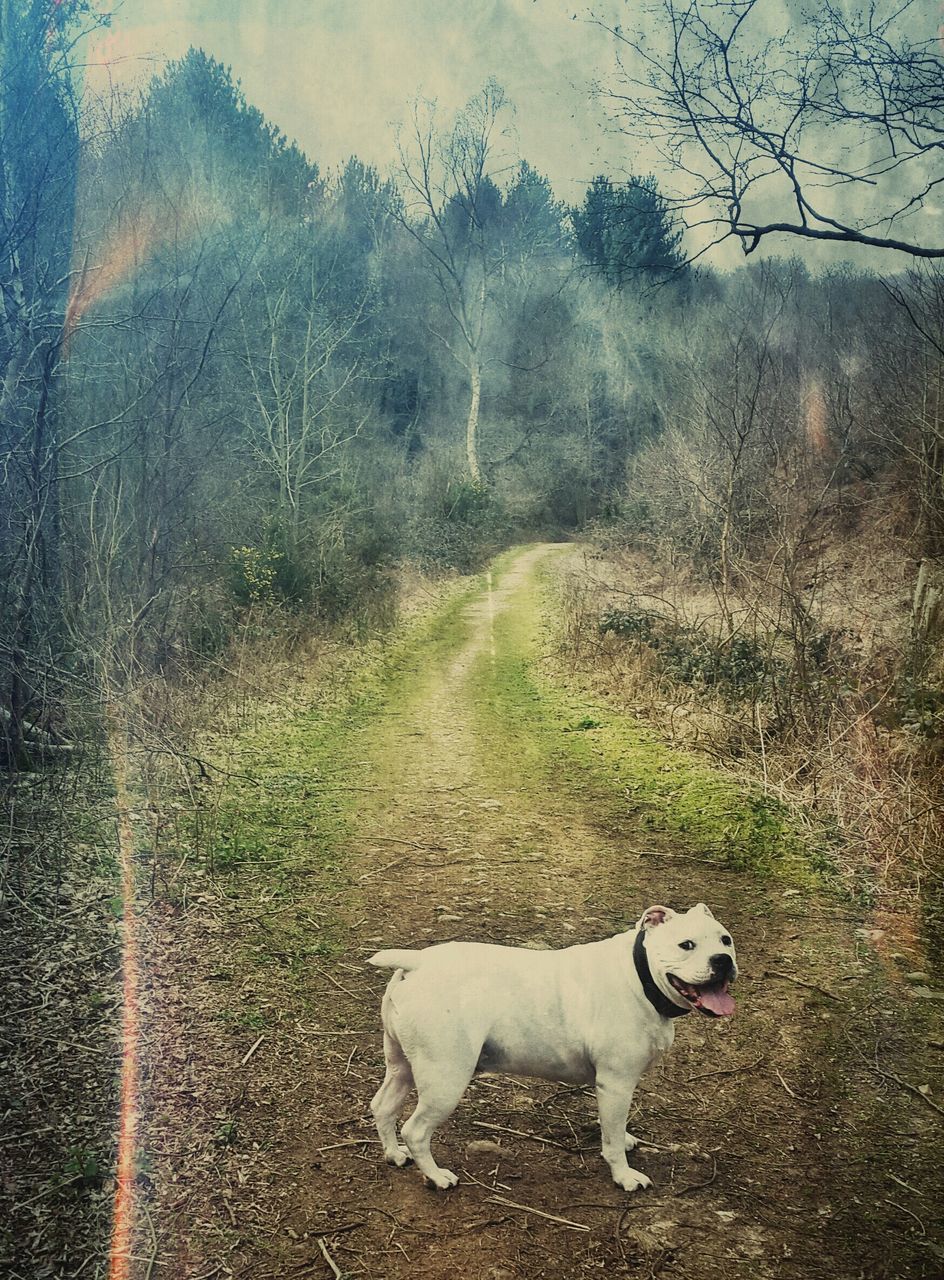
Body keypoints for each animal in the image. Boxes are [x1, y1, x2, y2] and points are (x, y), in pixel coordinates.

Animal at [368, 901, 736, 1187]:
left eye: (726, 940)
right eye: (686, 945)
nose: (722, 960)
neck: (641, 976)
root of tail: (418, 963)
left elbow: (615, 1127)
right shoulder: (617, 1084)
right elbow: (612, 1141)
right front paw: (624, 1176)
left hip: (402, 1067)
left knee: (383, 1106)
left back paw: (395, 1155)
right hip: (445, 1079)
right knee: (416, 1130)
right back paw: (436, 1176)